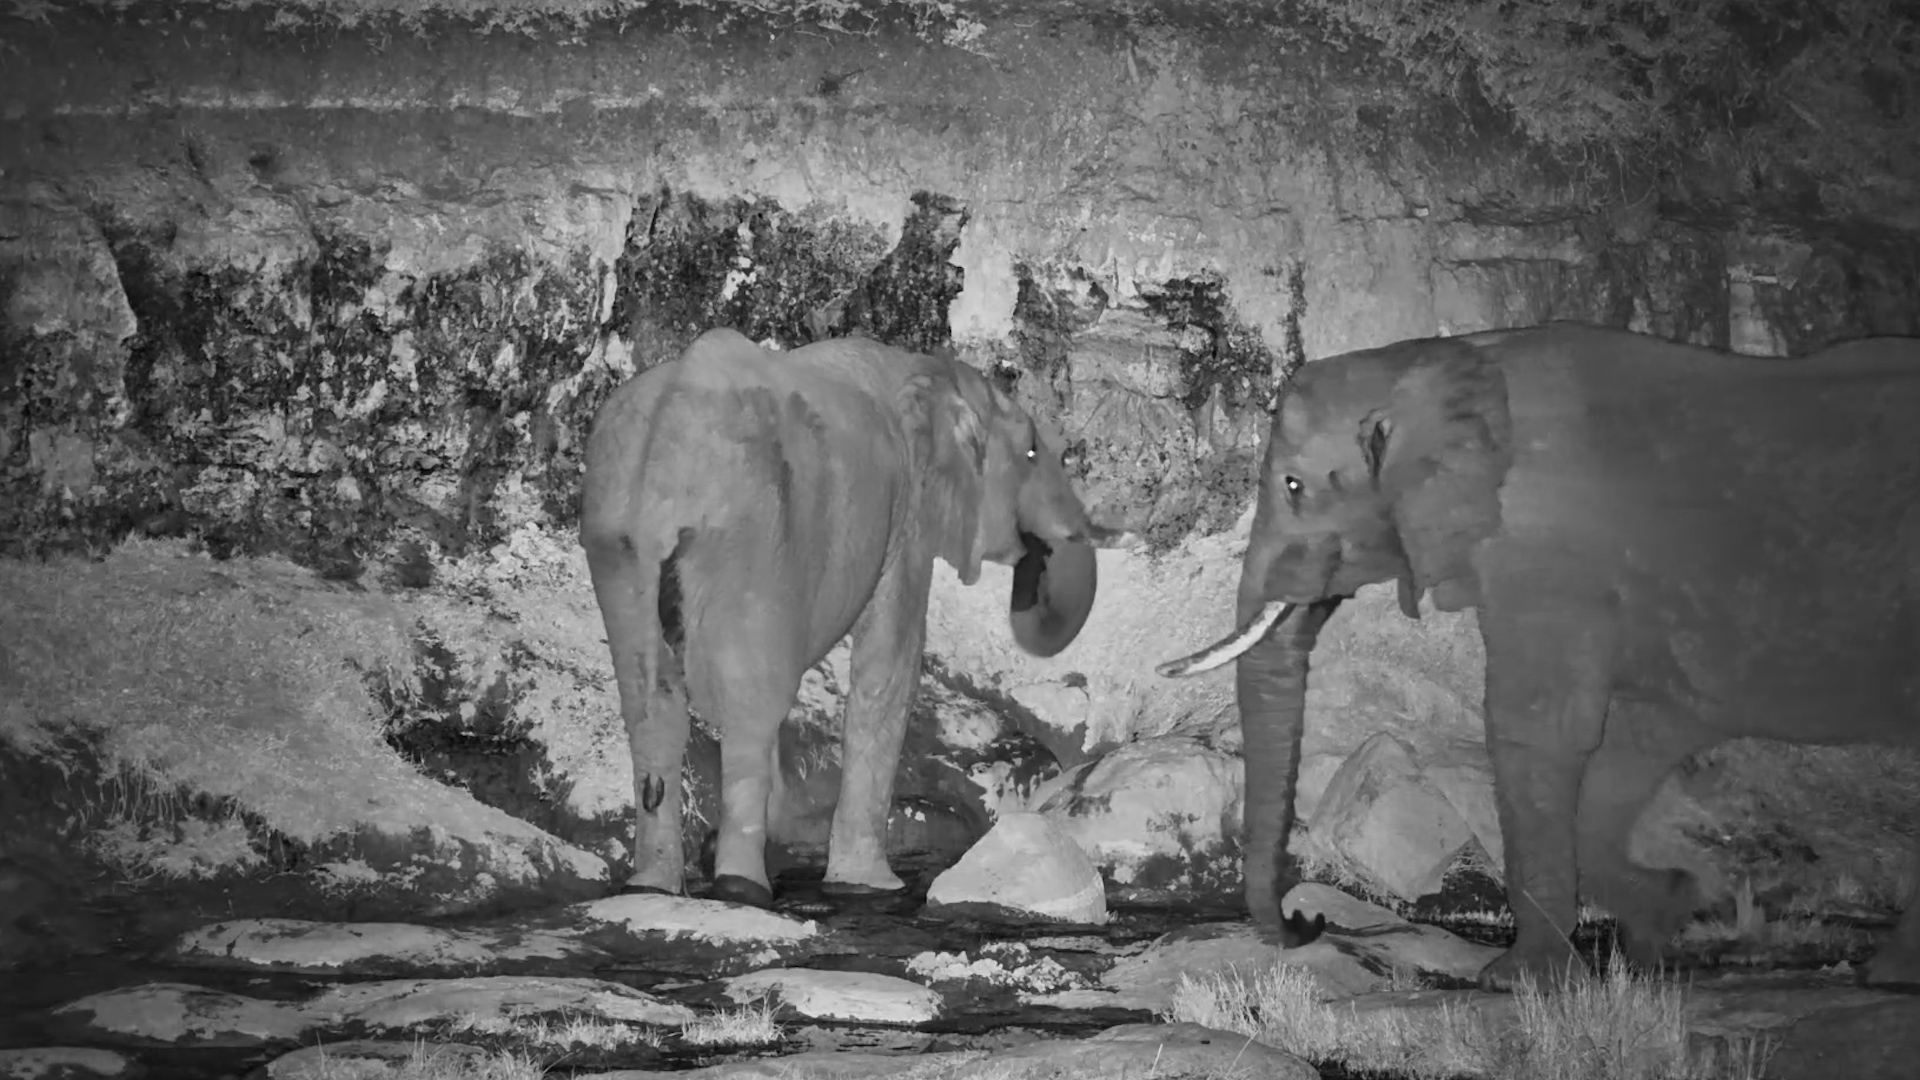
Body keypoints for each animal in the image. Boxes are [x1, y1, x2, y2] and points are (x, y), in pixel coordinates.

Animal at [581, 327, 1106, 908]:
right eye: (1032, 451)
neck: (935, 372)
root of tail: (663, 464)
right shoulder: (906, 515)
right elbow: (891, 660)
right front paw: (868, 887)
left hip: (618, 542)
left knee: (652, 707)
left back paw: (653, 887)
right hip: (750, 535)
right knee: (752, 701)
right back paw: (743, 889)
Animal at [1158, 321, 1920, 991]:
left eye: (1293, 486)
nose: (1306, 921)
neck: (1437, 364)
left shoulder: (1544, 556)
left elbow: (1537, 727)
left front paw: (1518, 982)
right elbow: (1624, 747)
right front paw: (1667, 916)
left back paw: (1891, 976)